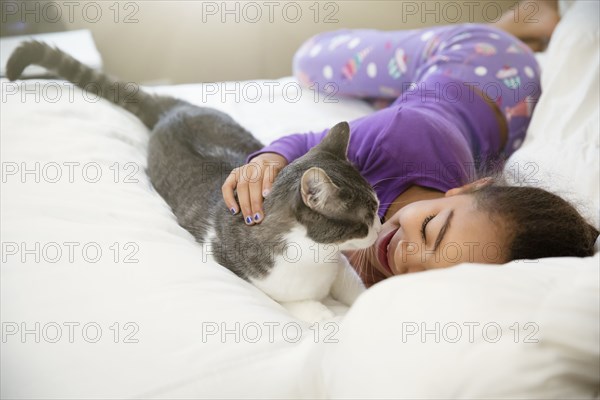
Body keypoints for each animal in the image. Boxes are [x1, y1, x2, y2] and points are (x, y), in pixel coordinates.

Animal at [7, 41, 382, 322]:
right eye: (364, 219)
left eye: (377, 206)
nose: (379, 226)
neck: (317, 257)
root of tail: (174, 111)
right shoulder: (259, 281)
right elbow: (308, 308)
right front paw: (334, 319)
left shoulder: (340, 269)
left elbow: (358, 289)